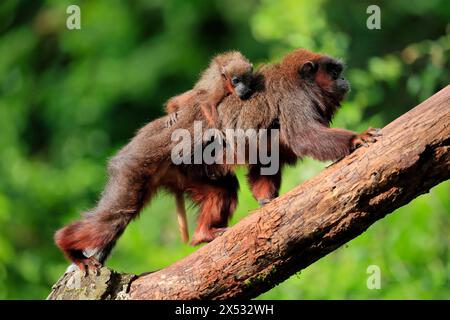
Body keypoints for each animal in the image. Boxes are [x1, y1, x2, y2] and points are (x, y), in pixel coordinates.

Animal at [53, 48, 376, 272]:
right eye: (334, 72)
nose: (344, 78)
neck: (299, 81)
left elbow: (266, 157)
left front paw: (265, 200)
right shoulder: (294, 98)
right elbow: (303, 136)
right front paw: (355, 139)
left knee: (223, 188)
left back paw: (203, 234)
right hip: (135, 166)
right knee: (113, 218)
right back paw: (66, 244)